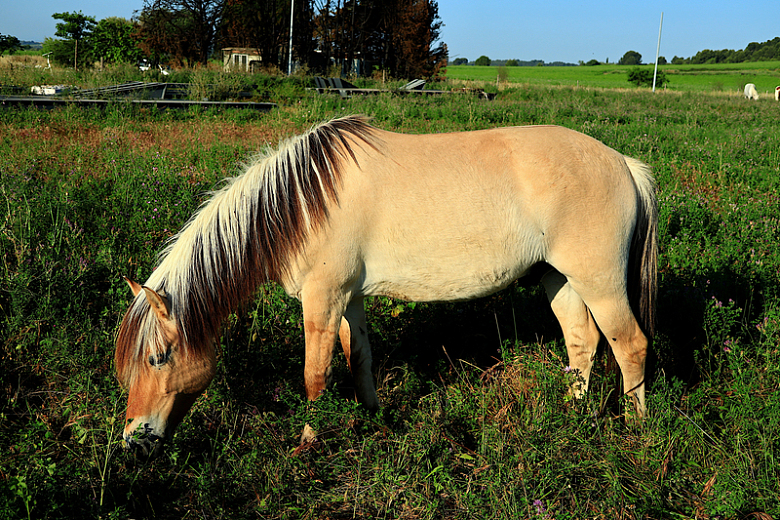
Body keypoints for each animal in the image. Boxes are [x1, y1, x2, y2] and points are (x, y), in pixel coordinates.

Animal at [116, 115, 657, 456]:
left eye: (157, 359)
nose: (132, 443)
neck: (300, 203)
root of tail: (623, 163)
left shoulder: (323, 299)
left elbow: (315, 376)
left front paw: (308, 443)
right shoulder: (349, 299)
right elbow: (360, 359)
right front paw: (374, 419)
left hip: (599, 281)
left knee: (629, 344)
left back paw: (636, 430)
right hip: (558, 278)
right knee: (582, 342)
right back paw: (572, 414)